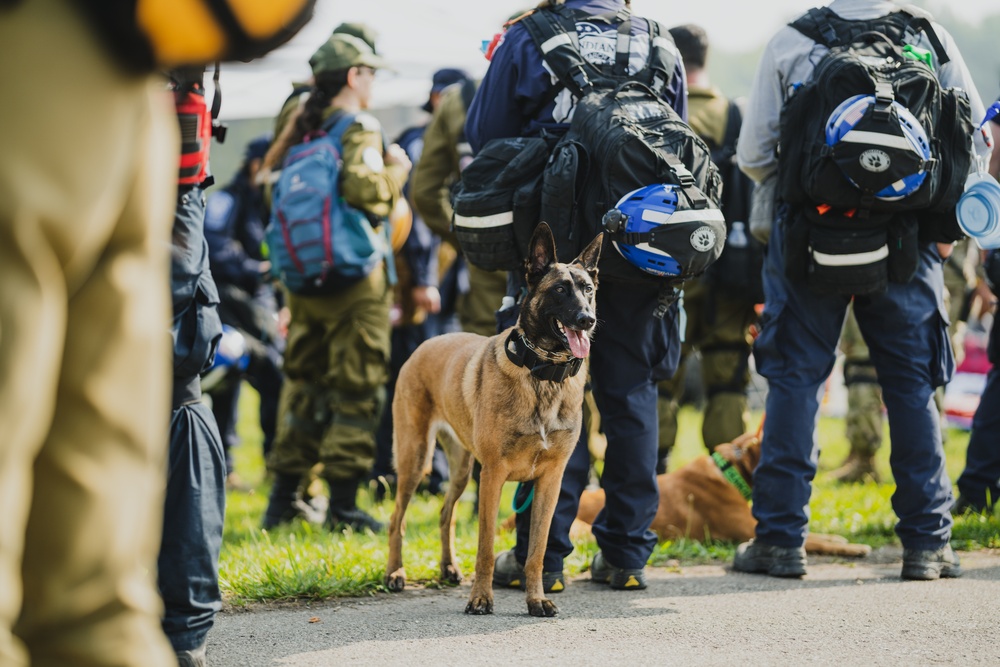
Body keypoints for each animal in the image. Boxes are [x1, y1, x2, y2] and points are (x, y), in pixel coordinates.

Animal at [504, 434, 872, 560]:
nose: (818, 451)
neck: (730, 469)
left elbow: (818, 535)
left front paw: (841, 538)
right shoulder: (749, 531)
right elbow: (813, 540)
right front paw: (853, 547)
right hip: (580, 529)